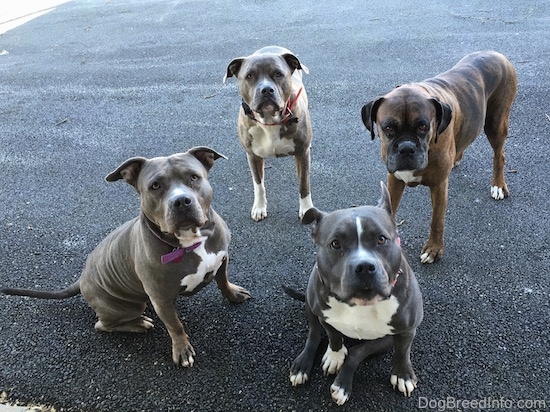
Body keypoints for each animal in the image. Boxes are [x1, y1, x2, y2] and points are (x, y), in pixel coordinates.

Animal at [1, 146, 252, 366]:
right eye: (155, 185)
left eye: (193, 177)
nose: (181, 201)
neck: (190, 241)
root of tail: (81, 280)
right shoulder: (161, 300)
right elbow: (175, 326)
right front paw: (182, 350)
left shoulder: (222, 258)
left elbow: (222, 280)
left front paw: (233, 294)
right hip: (126, 306)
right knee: (103, 325)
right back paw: (139, 324)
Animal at [225, 45, 314, 222]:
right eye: (249, 75)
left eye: (278, 74)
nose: (266, 89)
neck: (269, 119)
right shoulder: (252, 155)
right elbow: (258, 184)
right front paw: (259, 207)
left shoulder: (302, 153)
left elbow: (304, 184)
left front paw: (307, 209)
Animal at [286, 183, 424, 406]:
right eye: (335, 244)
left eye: (381, 239)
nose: (365, 267)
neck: (361, 304)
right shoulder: (326, 317)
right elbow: (333, 336)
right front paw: (334, 355)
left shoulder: (405, 330)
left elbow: (397, 353)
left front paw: (402, 375)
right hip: (310, 302)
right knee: (314, 334)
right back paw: (302, 366)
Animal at [362, 51, 516, 264]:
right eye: (389, 128)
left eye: (423, 126)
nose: (406, 148)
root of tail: (496, 54)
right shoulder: (394, 180)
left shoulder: (439, 186)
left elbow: (437, 219)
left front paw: (434, 249)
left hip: (495, 123)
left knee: (499, 155)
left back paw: (498, 185)